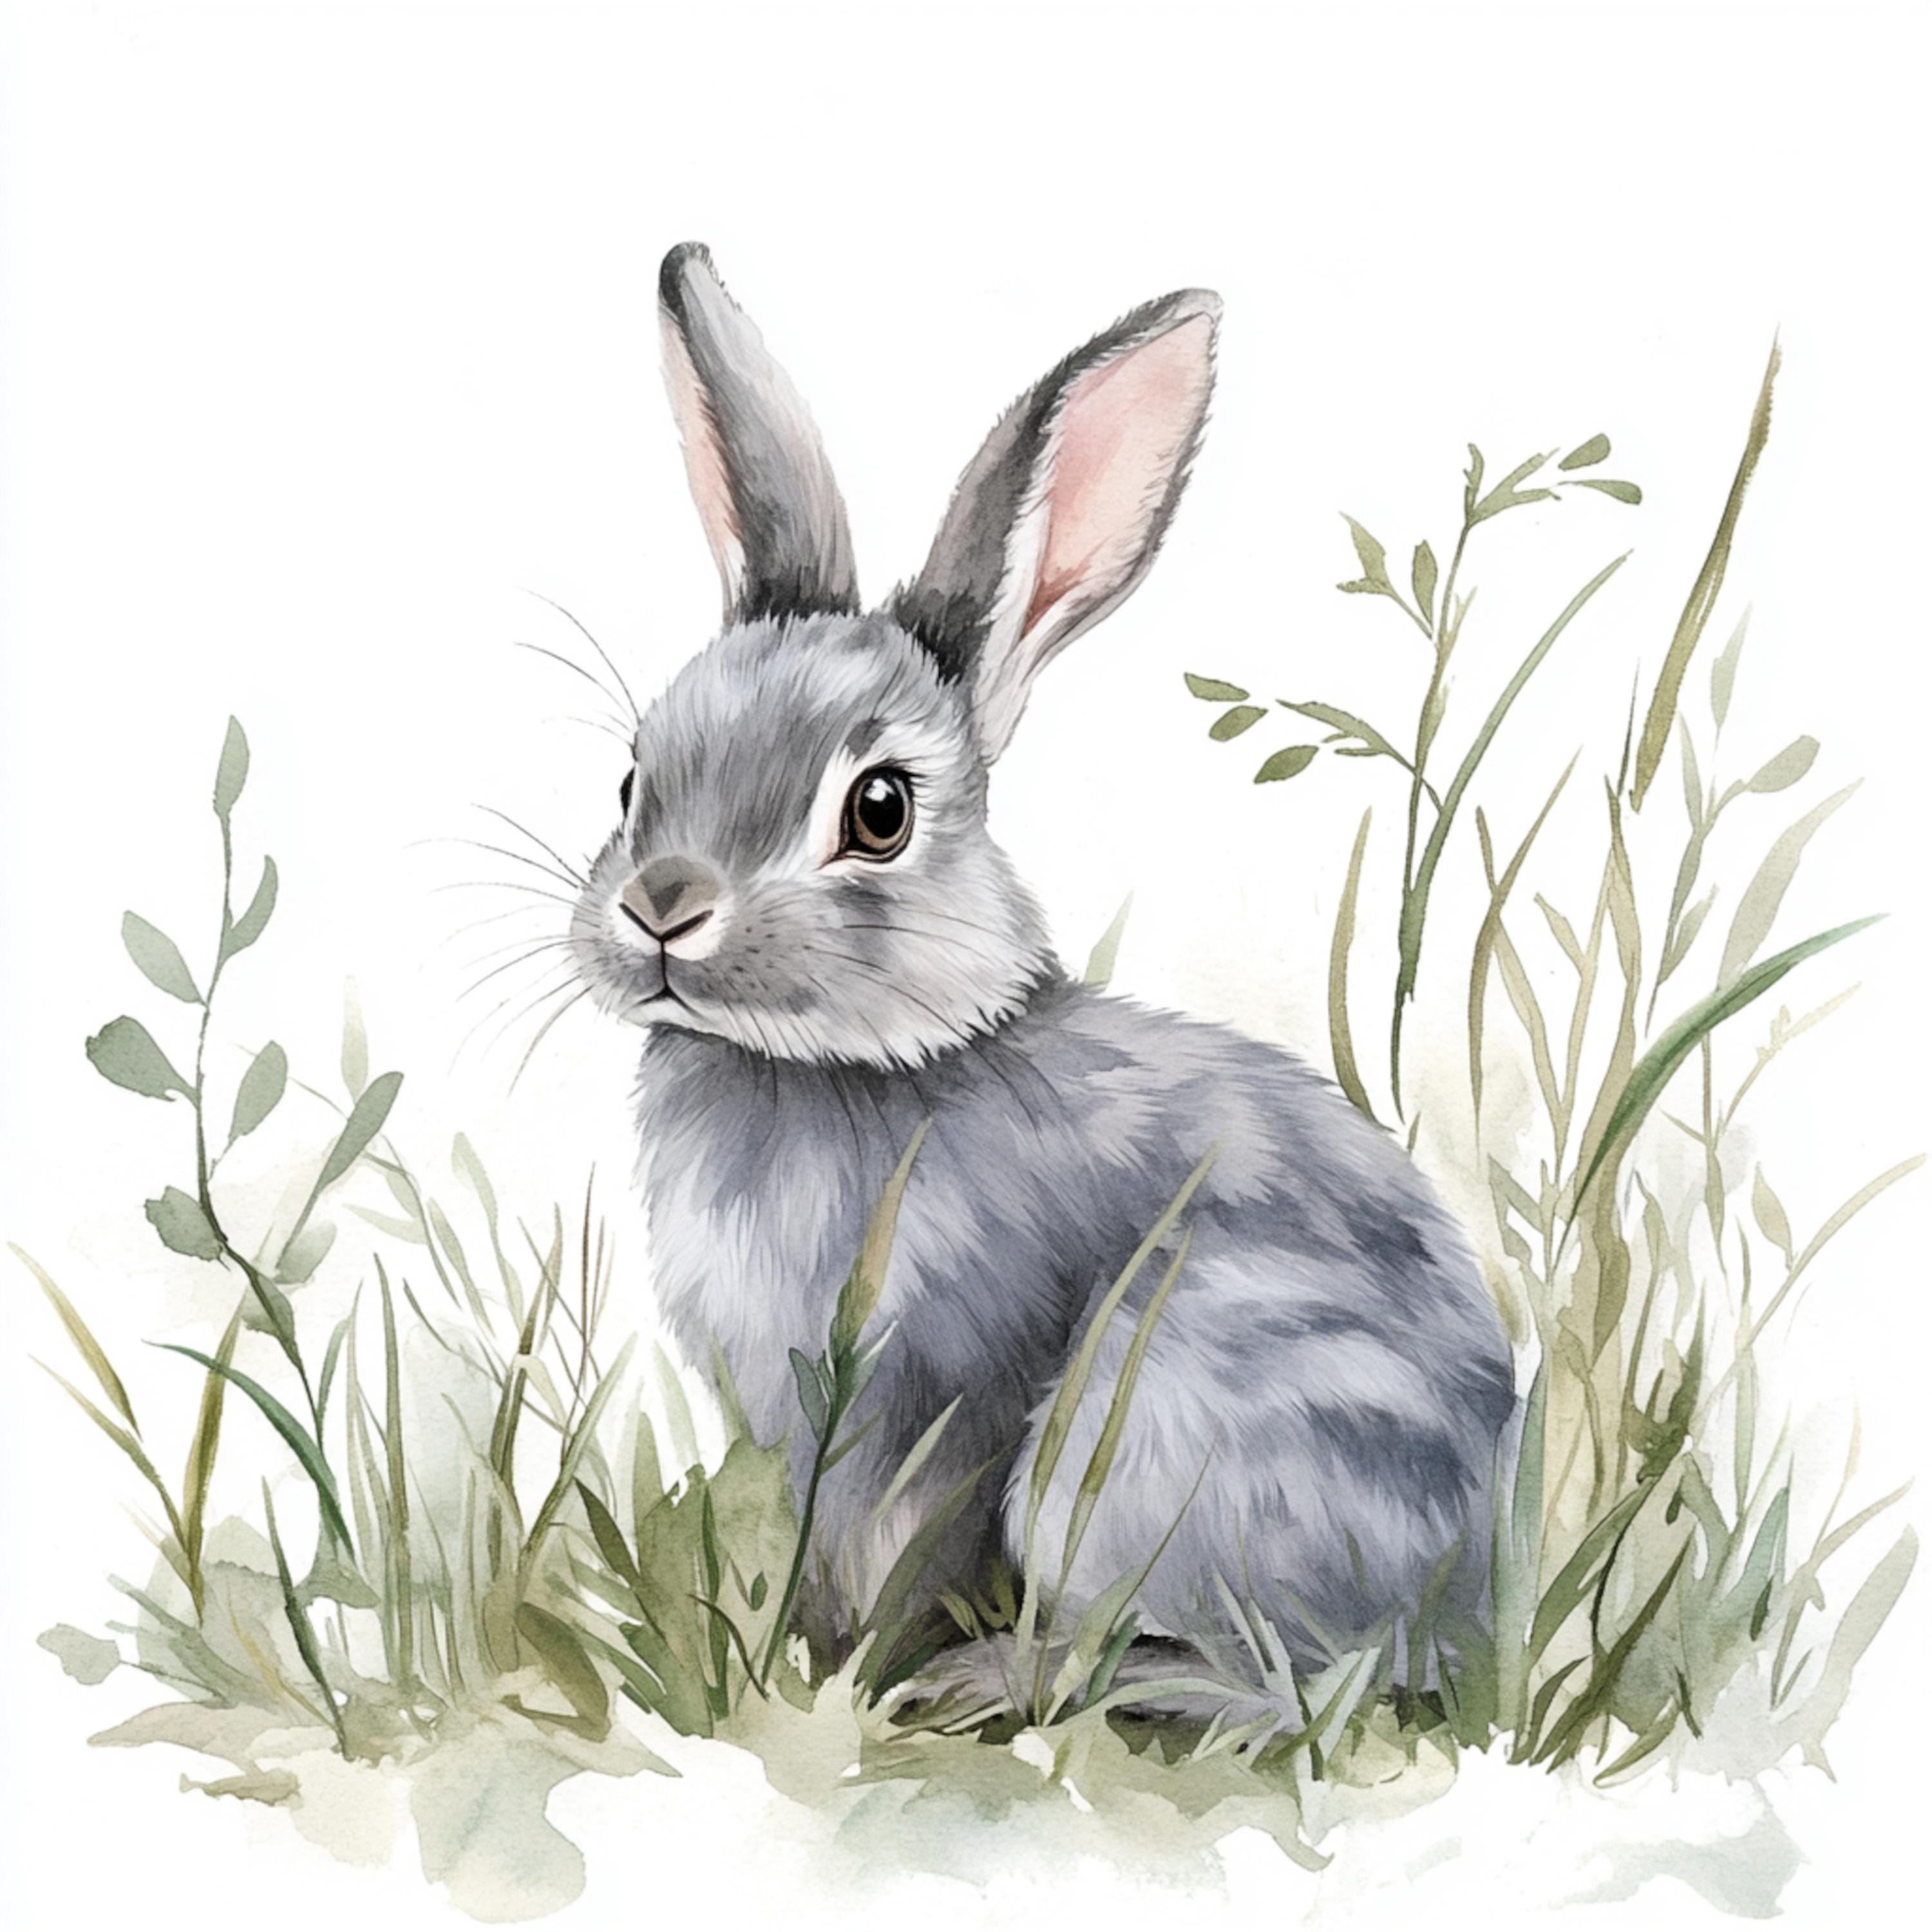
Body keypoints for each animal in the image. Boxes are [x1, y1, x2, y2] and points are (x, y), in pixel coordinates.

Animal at [567, 242, 1515, 1695]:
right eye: (633, 779)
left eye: (880, 811)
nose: (663, 909)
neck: (840, 1066)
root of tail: (1470, 1605)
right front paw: (797, 1663)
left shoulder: (937, 1401)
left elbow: (908, 1550)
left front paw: (861, 1682)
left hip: (1165, 1416)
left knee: (1282, 1683)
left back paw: (1017, 1682)